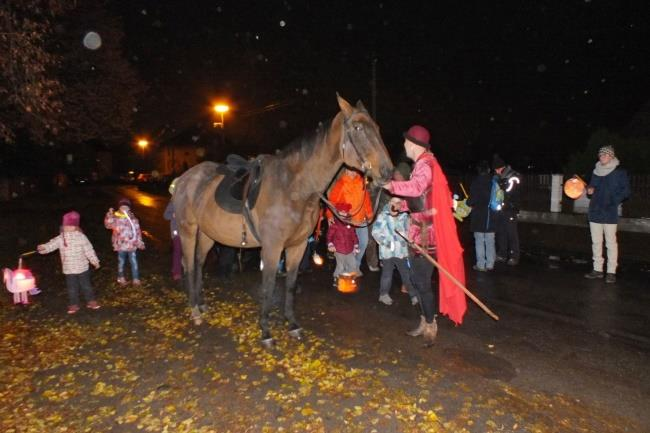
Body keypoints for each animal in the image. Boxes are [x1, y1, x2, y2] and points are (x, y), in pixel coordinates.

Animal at [172, 94, 392, 344]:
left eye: (377, 128)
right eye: (357, 128)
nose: (387, 172)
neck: (294, 188)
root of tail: (184, 178)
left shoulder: (297, 246)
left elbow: (290, 285)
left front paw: (292, 324)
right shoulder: (272, 247)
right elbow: (268, 287)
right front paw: (265, 331)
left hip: (208, 233)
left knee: (199, 263)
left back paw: (201, 303)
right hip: (188, 230)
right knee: (189, 264)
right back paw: (194, 309)